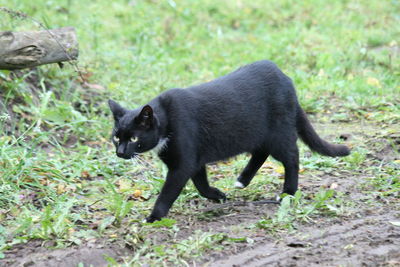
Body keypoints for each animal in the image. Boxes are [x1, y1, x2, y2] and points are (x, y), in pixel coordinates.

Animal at [109, 59, 350, 223]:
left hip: (278, 132)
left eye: (133, 138)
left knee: (292, 157)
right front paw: (218, 196)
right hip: (258, 132)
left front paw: (153, 218)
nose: (120, 152)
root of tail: (286, 78)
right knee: (261, 152)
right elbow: (201, 184)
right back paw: (242, 180)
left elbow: (168, 192)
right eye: (116, 137)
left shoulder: (183, 162)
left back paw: (287, 193)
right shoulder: (194, 160)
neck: (166, 121)